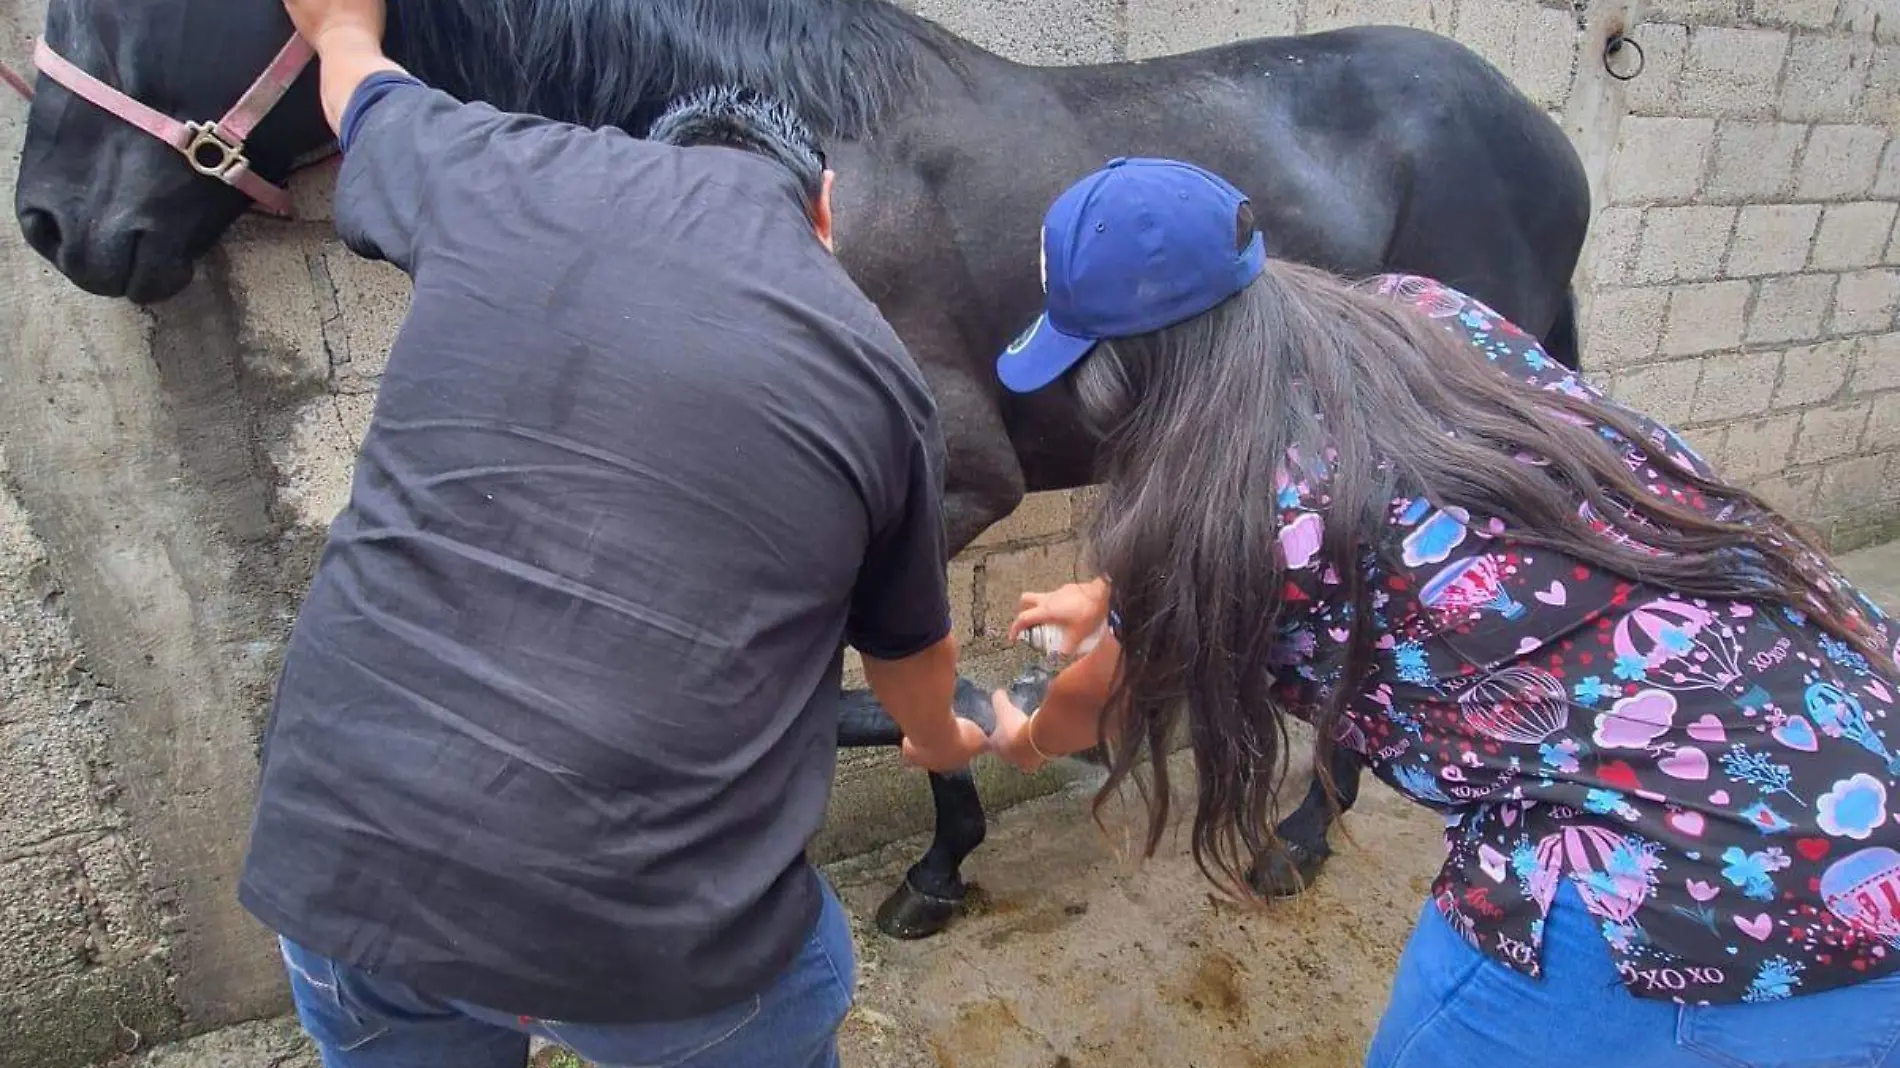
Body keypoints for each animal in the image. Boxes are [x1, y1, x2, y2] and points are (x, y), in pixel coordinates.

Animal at [11, 0, 1588, 931]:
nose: (51, 224)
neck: (812, 167)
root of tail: (1546, 132)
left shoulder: (951, 485)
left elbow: (873, 681)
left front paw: (942, 852)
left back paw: (1297, 836)